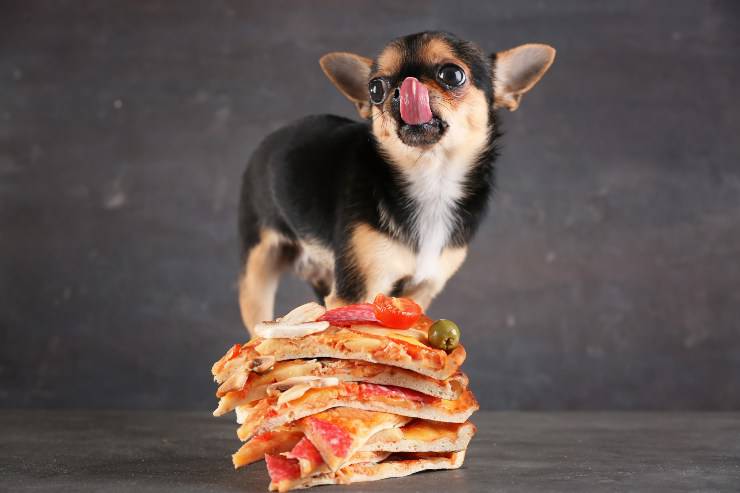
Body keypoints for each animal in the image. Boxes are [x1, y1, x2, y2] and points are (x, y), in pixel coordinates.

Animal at [238, 30, 556, 334]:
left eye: (452, 74)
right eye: (375, 88)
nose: (405, 86)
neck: (431, 181)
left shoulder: (420, 290)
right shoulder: (355, 293)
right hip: (257, 277)